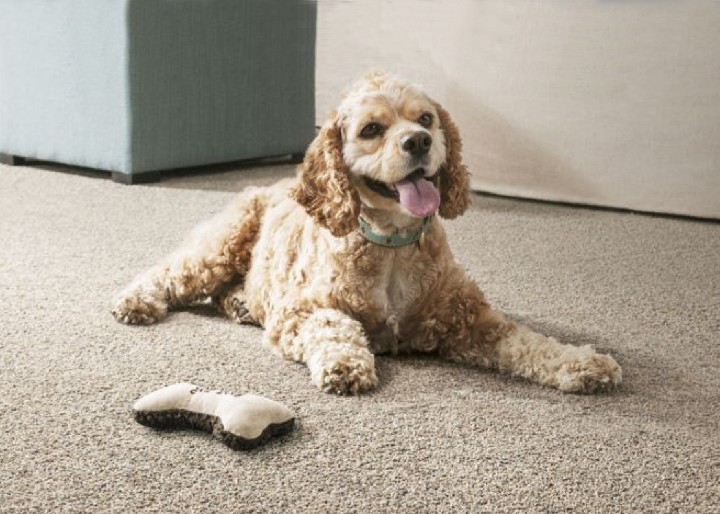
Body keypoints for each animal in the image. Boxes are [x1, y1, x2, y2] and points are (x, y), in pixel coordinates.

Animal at [111, 71, 620, 392]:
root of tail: (264, 183)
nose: (419, 141)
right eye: (372, 129)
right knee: (170, 272)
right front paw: (345, 363)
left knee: (229, 290)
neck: (393, 245)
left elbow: (530, 342)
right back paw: (135, 301)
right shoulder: (303, 310)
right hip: (221, 245)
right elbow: (333, 325)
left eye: (426, 119)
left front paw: (584, 363)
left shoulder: (471, 319)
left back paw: (238, 303)